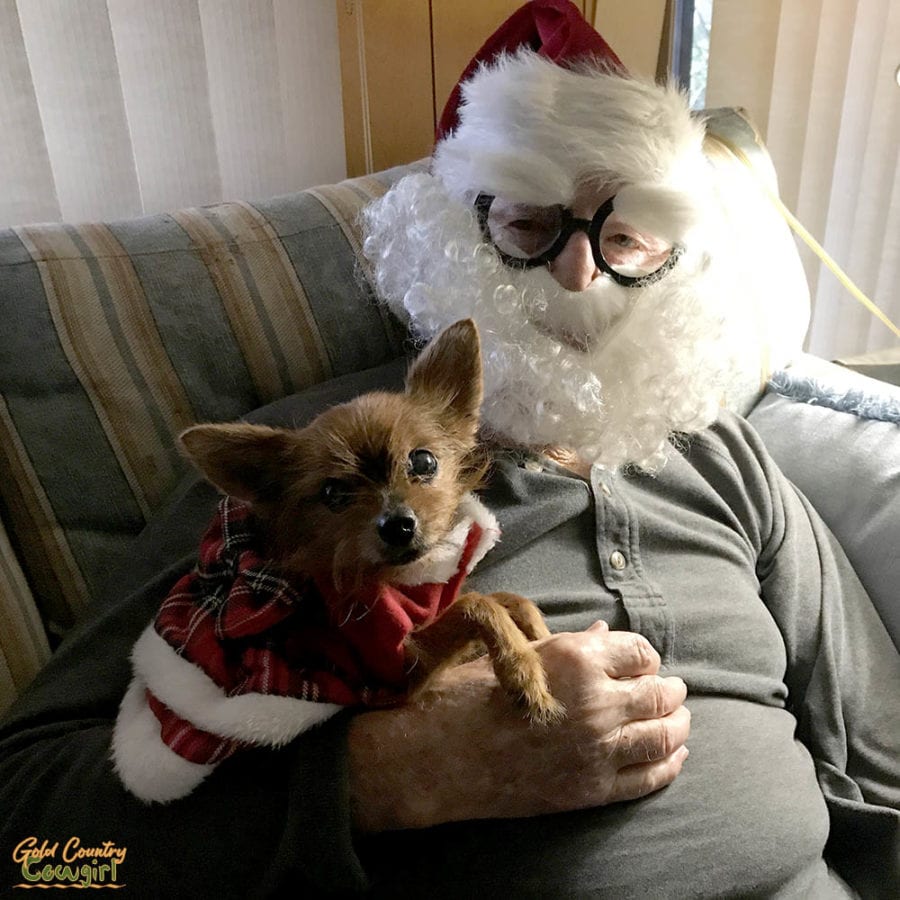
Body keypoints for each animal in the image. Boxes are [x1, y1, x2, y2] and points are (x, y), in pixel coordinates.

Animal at [110, 320, 564, 804]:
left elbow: (506, 598)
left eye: (423, 461)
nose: (397, 524)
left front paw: (536, 632)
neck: (405, 579)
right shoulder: (397, 671)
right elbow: (477, 606)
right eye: (333, 493)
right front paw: (522, 671)